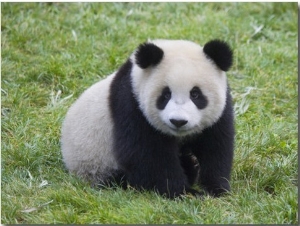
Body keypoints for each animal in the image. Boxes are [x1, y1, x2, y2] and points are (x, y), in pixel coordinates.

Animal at [61, 38, 234, 198]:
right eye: (165, 95)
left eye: (195, 94)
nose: (178, 121)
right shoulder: (131, 104)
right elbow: (148, 155)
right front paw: (185, 192)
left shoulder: (222, 109)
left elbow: (216, 145)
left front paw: (216, 188)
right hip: (96, 165)